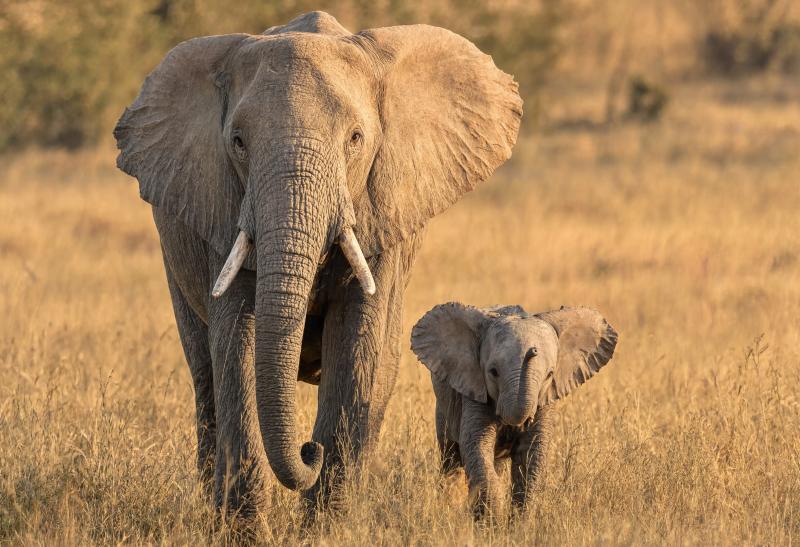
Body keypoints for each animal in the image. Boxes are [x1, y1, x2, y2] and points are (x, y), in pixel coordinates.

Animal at [113, 11, 522, 517]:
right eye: (238, 142)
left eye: (355, 139)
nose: (309, 450)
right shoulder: (221, 210)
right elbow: (236, 348)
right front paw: (245, 528)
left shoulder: (381, 211)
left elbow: (357, 345)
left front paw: (326, 524)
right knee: (205, 375)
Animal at [410, 303, 617, 518]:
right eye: (493, 372)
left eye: (549, 375)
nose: (532, 350)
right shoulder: (474, 390)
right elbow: (475, 444)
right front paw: (492, 519)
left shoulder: (544, 400)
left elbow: (532, 453)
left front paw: (519, 522)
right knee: (451, 456)